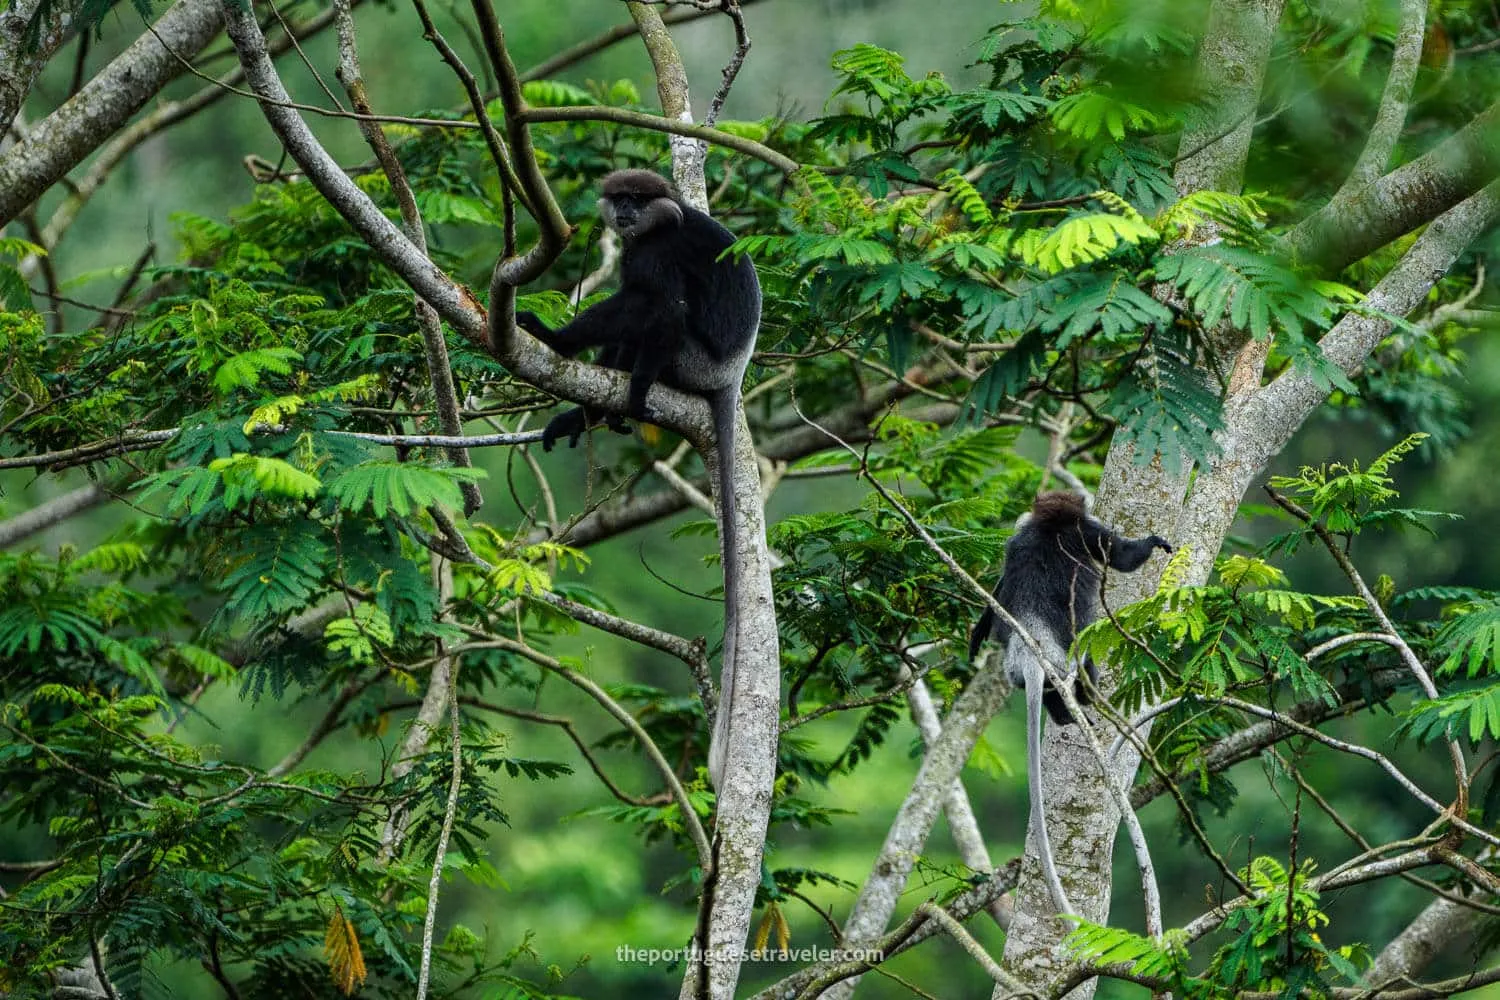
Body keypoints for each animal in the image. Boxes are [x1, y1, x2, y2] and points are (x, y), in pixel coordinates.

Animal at [514, 169, 760, 790]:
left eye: (635, 200)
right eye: (619, 199)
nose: (623, 214)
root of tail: (729, 374)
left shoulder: (656, 250)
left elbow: (662, 305)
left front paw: (562, 342)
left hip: (691, 362)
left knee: (654, 310)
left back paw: (591, 365)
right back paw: (590, 413)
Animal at [968, 491, 1171, 915]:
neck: (1050, 523)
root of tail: (1032, 649)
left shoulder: (1018, 536)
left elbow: (1000, 585)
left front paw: (979, 629)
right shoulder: (1086, 531)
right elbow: (1120, 556)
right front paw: (1152, 543)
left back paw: (1064, 715)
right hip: (1069, 656)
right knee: (1085, 665)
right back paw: (1082, 705)